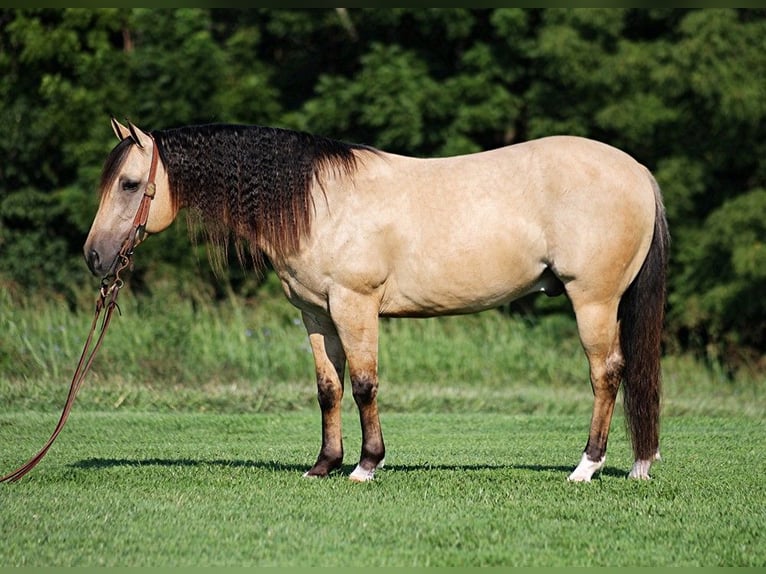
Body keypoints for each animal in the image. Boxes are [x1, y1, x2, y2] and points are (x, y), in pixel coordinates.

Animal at [84, 119, 669, 482]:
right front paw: (323, 464)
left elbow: (365, 384)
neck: (316, 202)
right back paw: (637, 464)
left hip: (593, 299)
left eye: (130, 184)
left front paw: (367, 465)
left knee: (606, 373)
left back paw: (587, 467)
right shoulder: (316, 314)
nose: (94, 256)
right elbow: (329, 389)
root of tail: (638, 173)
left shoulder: (354, 304)